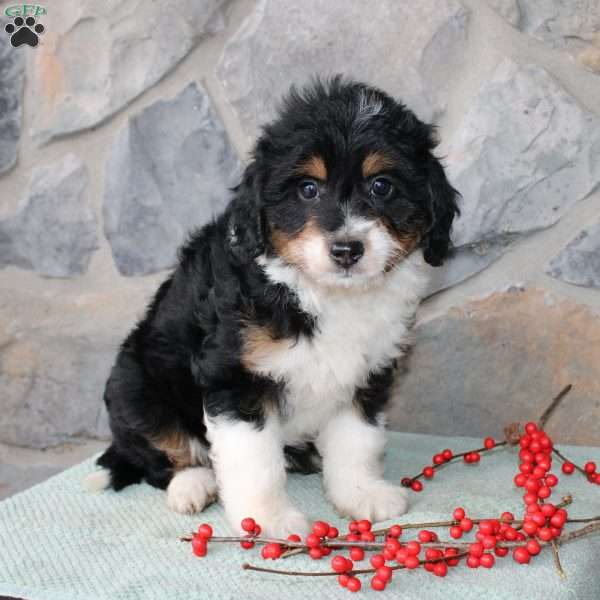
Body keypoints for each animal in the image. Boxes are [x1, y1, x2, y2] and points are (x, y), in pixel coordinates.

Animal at [85, 77, 460, 536]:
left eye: (381, 186)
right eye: (308, 189)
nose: (346, 250)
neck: (324, 293)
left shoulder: (366, 373)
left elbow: (357, 441)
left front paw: (362, 494)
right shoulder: (235, 377)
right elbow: (254, 462)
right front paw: (267, 521)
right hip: (135, 385)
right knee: (162, 451)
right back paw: (192, 484)